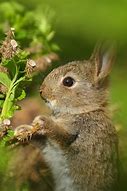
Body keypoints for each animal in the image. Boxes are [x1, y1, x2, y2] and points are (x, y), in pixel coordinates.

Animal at [14, 44, 118, 191]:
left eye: (68, 81)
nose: (42, 92)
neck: (81, 111)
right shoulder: (48, 146)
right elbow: (39, 139)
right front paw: (22, 130)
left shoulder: (74, 134)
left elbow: (60, 134)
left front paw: (42, 121)